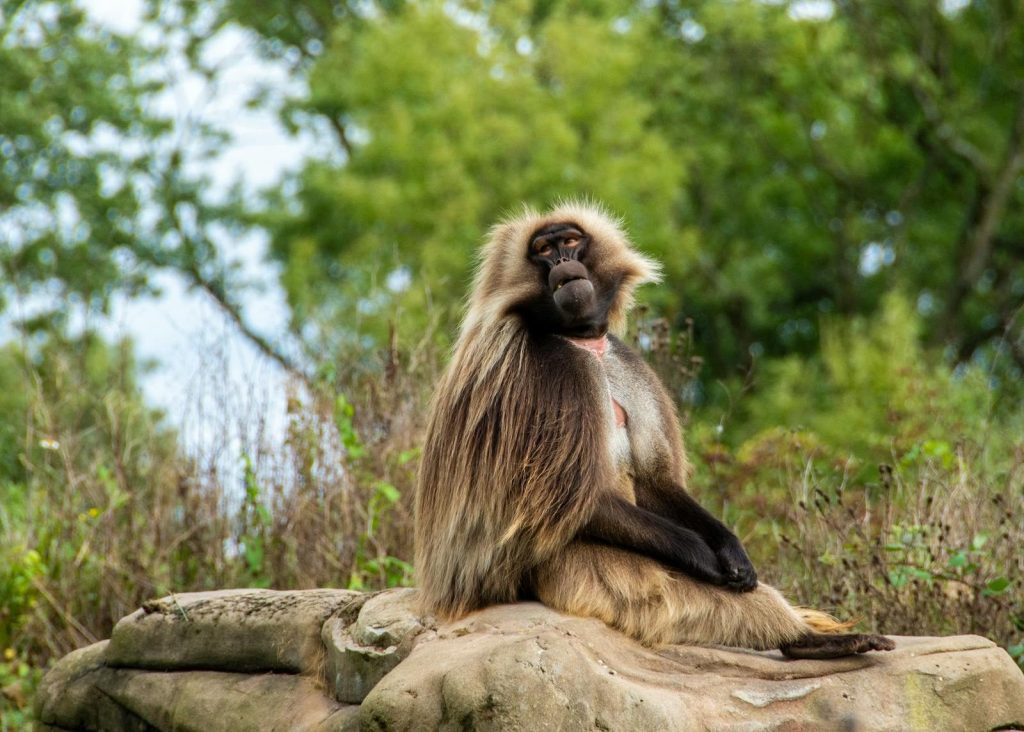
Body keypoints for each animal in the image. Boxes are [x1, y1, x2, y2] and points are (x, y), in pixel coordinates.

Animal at [414, 201, 894, 660]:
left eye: (570, 241)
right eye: (543, 250)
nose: (563, 263)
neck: (580, 340)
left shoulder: (627, 363)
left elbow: (653, 482)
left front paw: (731, 550)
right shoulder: (544, 376)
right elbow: (571, 498)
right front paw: (702, 555)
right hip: (572, 575)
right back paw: (804, 641)